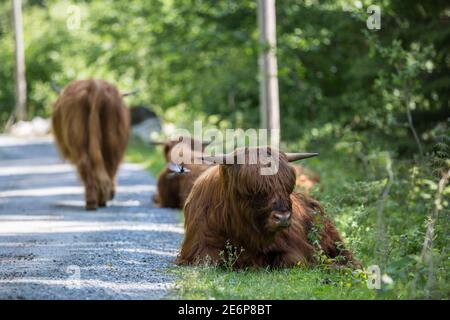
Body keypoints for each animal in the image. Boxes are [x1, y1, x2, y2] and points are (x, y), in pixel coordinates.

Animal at [53, 79, 131, 210]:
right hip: (111, 138)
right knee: (105, 164)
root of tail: (93, 84)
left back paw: (95, 201)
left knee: (91, 164)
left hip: (78, 135)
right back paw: (98, 200)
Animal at [176, 148, 356, 268]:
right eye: (252, 189)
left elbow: (291, 260)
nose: (283, 218)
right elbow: (213, 259)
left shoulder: (294, 248)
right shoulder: (199, 247)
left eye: (287, 187)